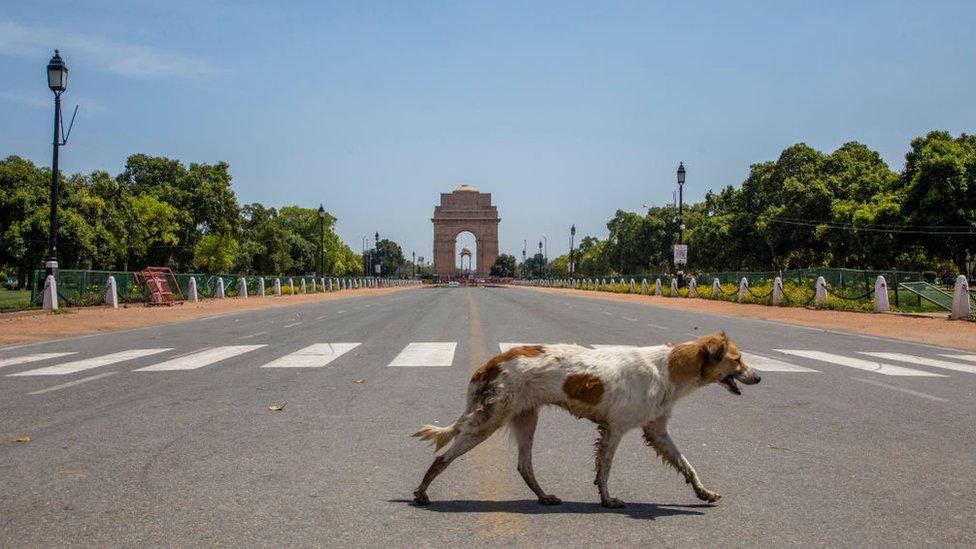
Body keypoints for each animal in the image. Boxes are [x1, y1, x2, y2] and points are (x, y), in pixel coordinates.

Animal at [412, 330, 764, 506]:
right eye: (738, 360)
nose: (759, 378)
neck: (668, 369)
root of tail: (492, 362)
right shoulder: (615, 429)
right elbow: (604, 470)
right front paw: (607, 500)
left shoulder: (657, 431)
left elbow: (688, 466)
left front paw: (704, 492)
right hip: (489, 420)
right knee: (442, 457)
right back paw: (421, 492)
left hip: (526, 418)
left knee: (524, 465)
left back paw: (543, 496)